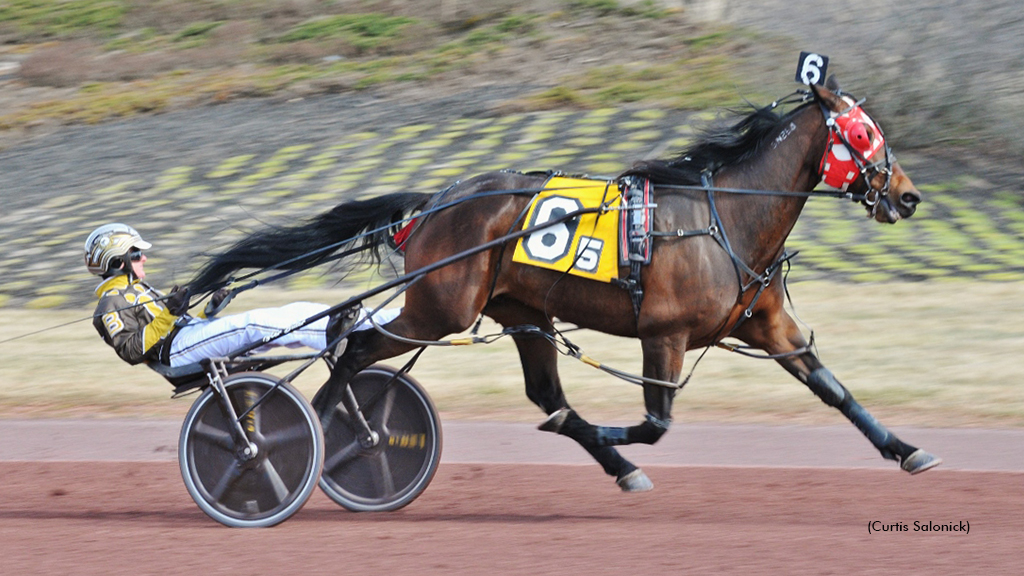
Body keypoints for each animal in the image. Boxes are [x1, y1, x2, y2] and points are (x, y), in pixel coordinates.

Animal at [192, 76, 942, 487]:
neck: (724, 215)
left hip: (521, 312)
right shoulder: (663, 334)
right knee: (350, 345)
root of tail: (434, 202)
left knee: (543, 393)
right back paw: (299, 442)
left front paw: (907, 450)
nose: (906, 197)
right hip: (440, 309)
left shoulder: (769, 325)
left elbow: (834, 390)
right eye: (863, 134)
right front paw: (618, 434)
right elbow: (654, 423)